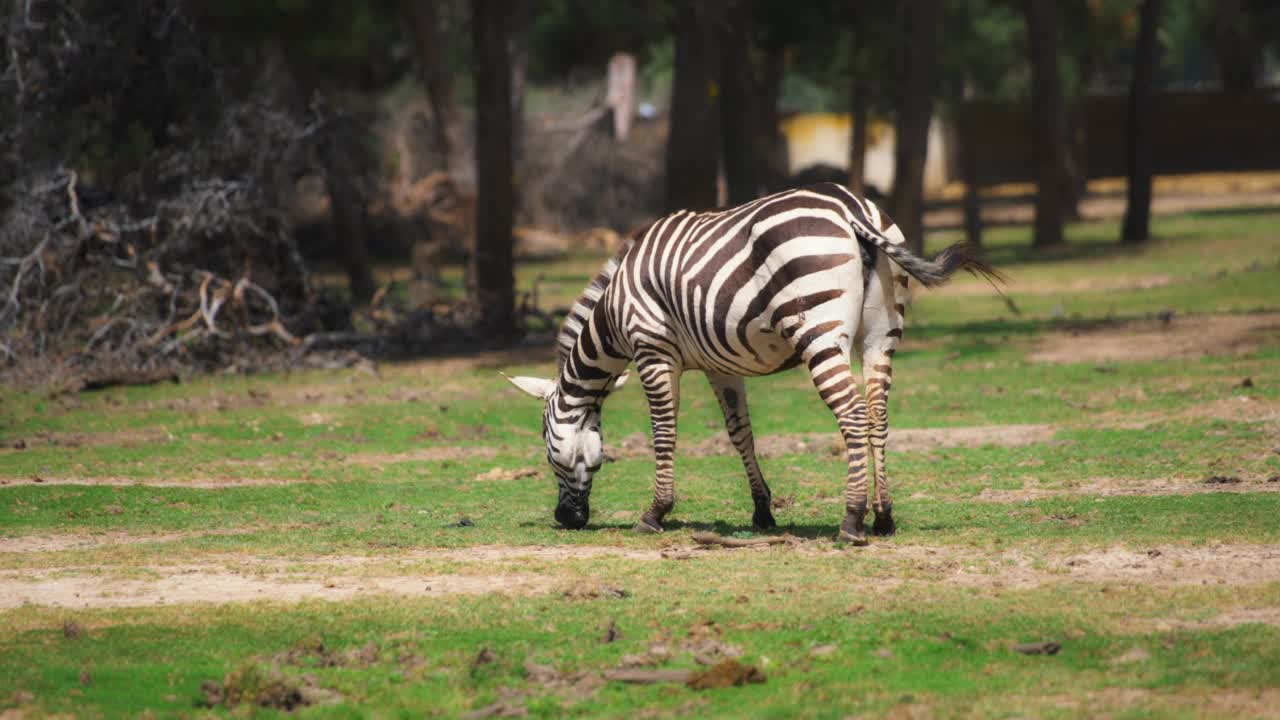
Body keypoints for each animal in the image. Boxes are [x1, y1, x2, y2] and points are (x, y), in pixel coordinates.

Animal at [504, 181, 1003, 540]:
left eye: (547, 449)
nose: (566, 519)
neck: (612, 314)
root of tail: (853, 210)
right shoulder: (719, 364)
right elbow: (739, 432)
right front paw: (763, 510)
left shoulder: (653, 351)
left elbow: (664, 433)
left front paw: (655, 512)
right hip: (881, 335)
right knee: (878, 416)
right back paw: (883, 518)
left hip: (819, 330)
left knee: (854, 415)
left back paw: (852, 519)